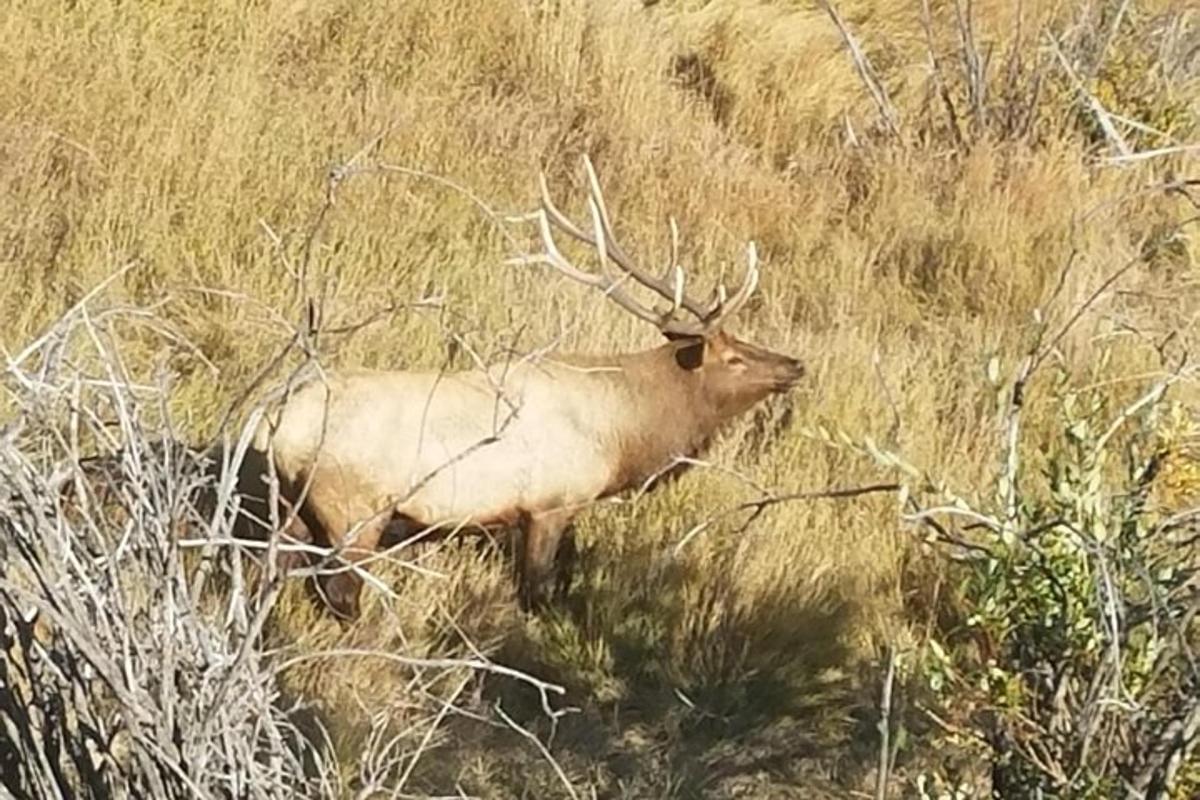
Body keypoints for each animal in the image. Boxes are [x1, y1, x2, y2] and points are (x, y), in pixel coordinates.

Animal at [250, 155, 806, 618]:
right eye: (734, 358)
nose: (795, 365)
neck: (623, 433)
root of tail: (276, 428)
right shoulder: (550, 503)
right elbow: (536, 593)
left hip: (287, 509)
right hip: (355, 511)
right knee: (339, 593)